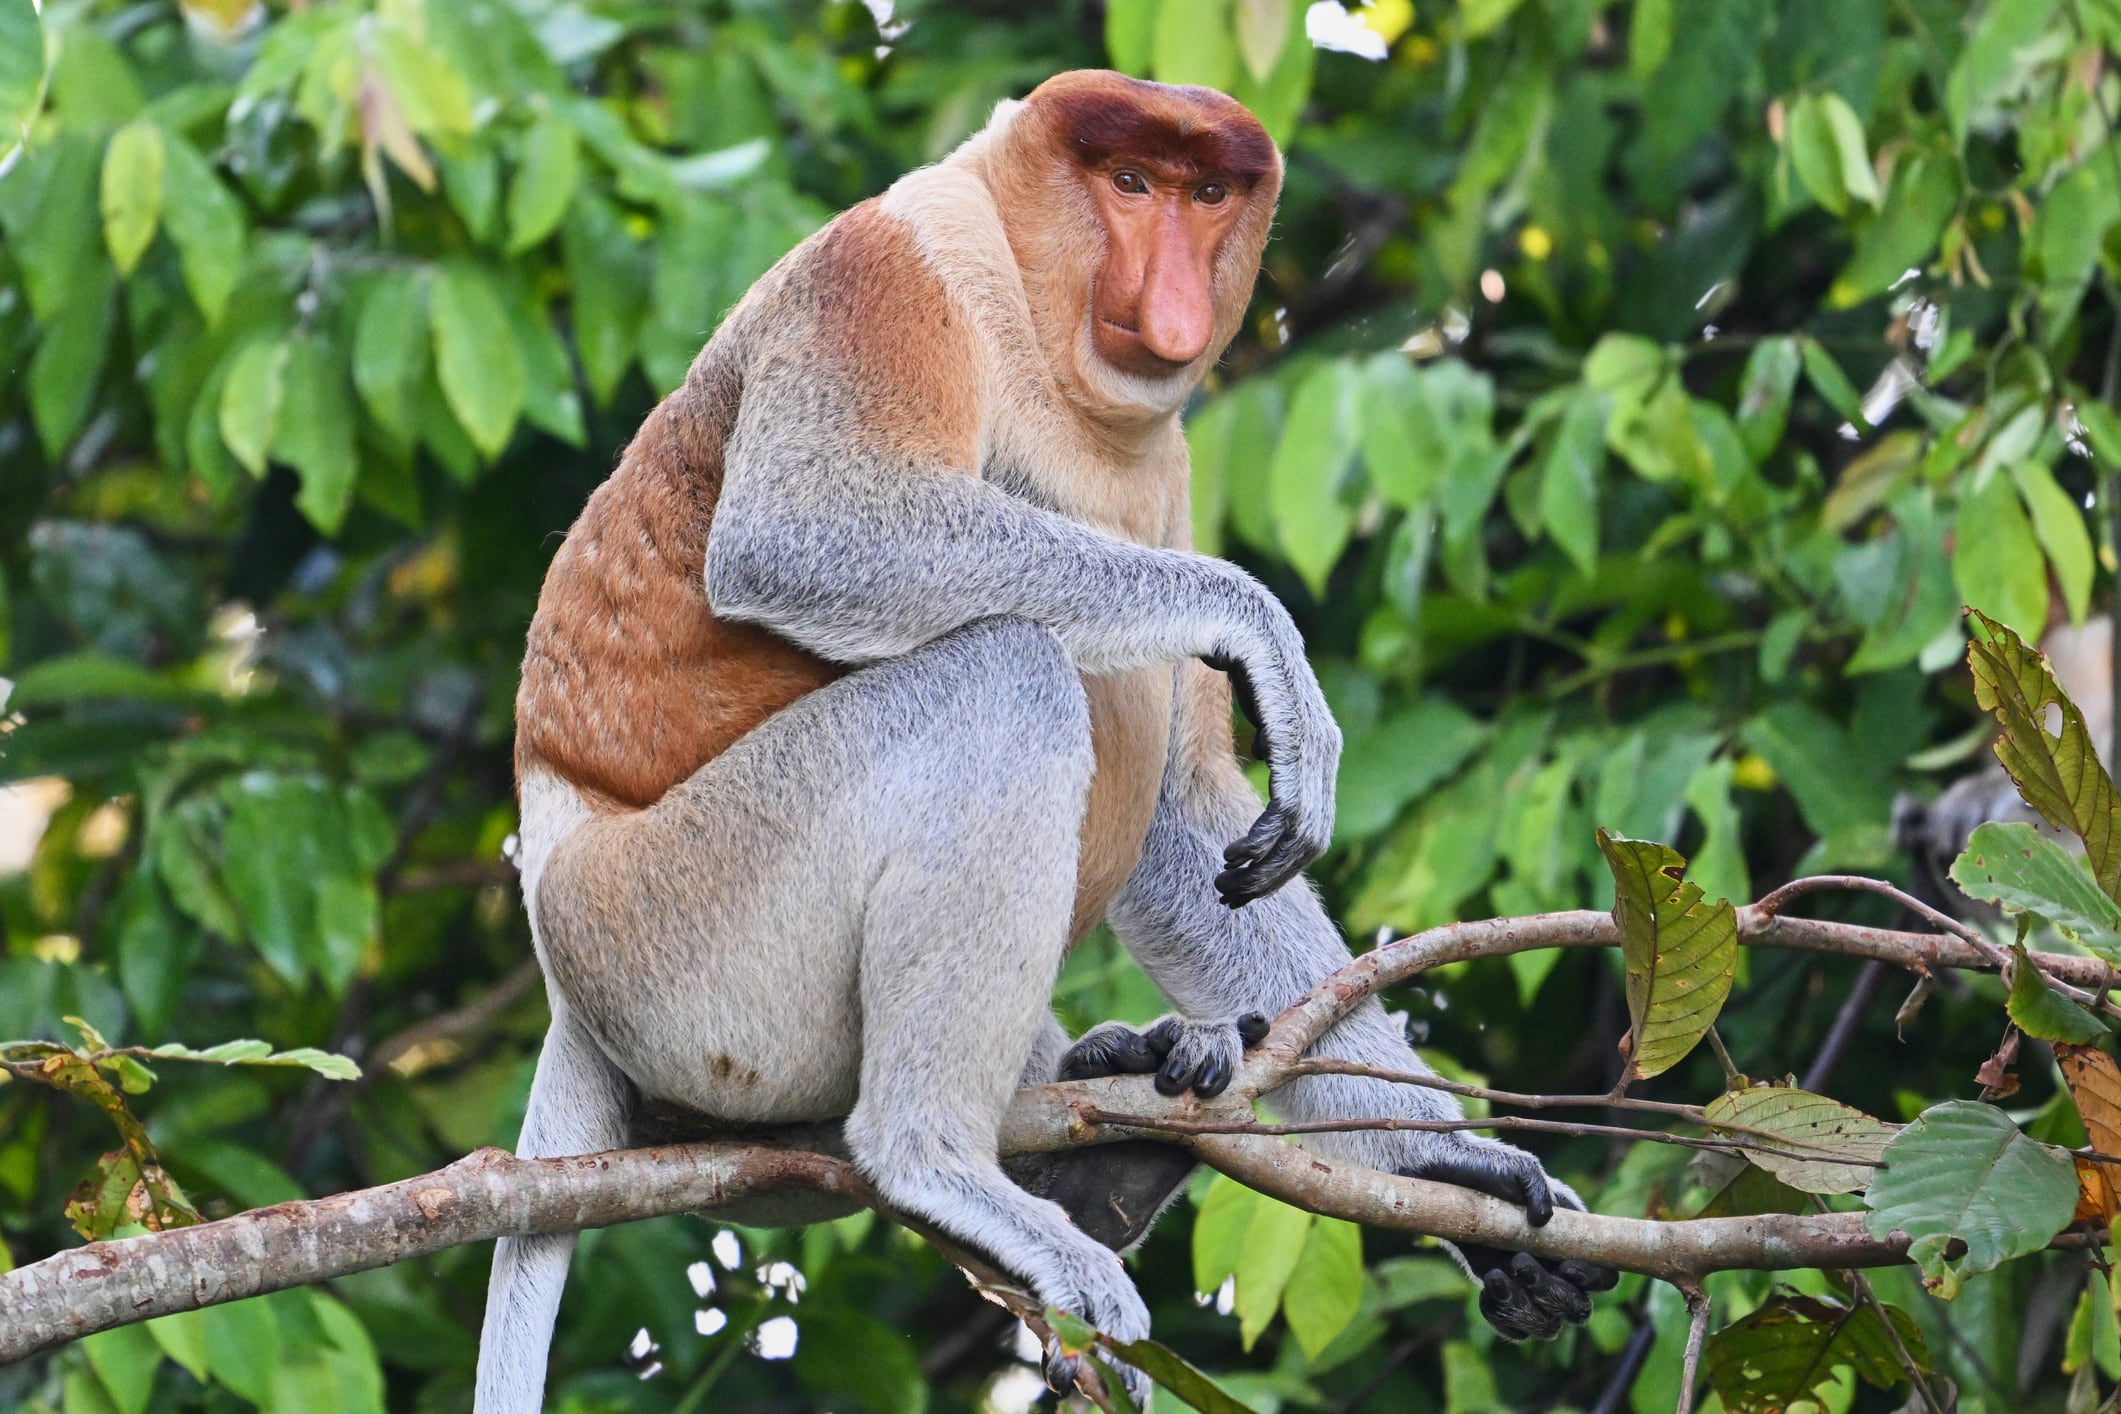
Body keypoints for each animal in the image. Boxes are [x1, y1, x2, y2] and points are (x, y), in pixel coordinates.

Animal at [478, 71, 1612, 1411]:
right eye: (1128, 183)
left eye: (1207, 193)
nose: (1172, 295)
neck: (1035, 316)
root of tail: (560, 931)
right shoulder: (886, 275)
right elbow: (800, 528)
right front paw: (1258, 628)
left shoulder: (1167, 466)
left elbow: (1193, 820)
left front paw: (1455, 1176)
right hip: (676, 932)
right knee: (1002, 676)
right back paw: (946, 1163)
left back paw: (1121, 1117)